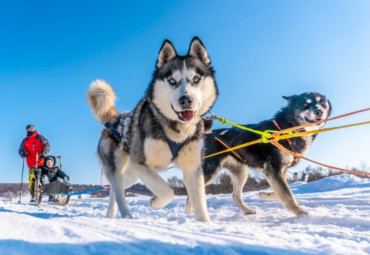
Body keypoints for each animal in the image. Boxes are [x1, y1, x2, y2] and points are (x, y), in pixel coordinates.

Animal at [88, 36, 218, 222]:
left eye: (196, 79)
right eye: (172, 81)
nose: (186, 100)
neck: (174, 129)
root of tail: (114, 118)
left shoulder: (192, 167)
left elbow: (200, 203)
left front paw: (204, 224)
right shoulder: (141, 163)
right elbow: (168, 191)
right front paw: (155, 202)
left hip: (131, 174)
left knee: (113, 189)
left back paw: (110, 214)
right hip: (119, 166)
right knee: (119, 192)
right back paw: (126, 215)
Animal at [186, 92, 330, 216]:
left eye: (322, 103)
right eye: (305, 104)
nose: (319, 111)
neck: (286, 128)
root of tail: (208, 134)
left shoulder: (279, 171)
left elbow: (283, 190)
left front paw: (264, 195)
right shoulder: (273, 168)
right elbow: (287, 193)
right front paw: (299, 211)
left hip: (241, 172)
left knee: (235, 195)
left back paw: (247, 210)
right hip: (210, 171)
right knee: (192, 192)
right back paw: (188, 214)